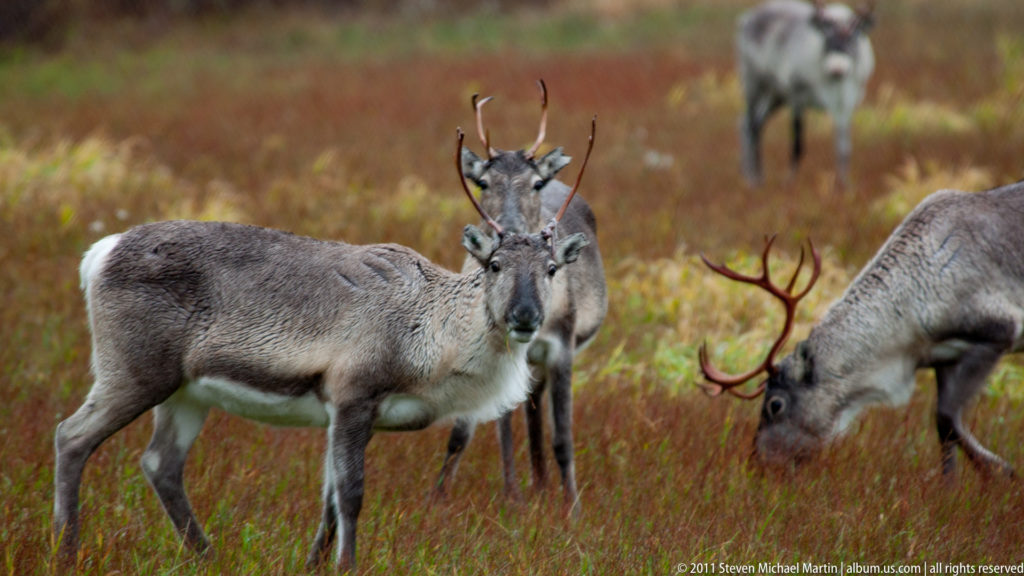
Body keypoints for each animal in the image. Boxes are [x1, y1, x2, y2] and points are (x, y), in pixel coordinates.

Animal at [52, 126, 596, 572]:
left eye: (551, 269)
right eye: (494, 265)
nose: (524, 317)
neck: (432, 334)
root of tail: (97, 254)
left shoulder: (344, 411)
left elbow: (330, 500)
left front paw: (314, 564)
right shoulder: (353, 394)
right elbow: (351, 495)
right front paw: (347, 566)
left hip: (187, 392)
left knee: (160, 464)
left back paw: (208, 556)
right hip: (134, 371)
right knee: (71, 437)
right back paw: (65, 552)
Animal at [433, 81, 607, 516]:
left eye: (535, 183)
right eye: (482, 183)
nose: (508, 229)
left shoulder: (562, 347)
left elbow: (563, 436)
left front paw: (572, 507)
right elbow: (470, 430)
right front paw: (441, 497)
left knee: (534, 411)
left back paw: (543, 484)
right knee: (514, 416)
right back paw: (526, 486)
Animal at [698, 180, 1024, 479]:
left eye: (775, 405)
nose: (757, 466)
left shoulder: (1000, 330)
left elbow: (946, 418)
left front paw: (1002, 471)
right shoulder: (943, 356)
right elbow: (946, 428)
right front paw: (950, 488)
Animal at [737, 0, 875, 187]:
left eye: (853, 38)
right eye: (827, 38)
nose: (837, 67)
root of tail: (746, 19)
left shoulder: (847, 103)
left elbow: (844, 147)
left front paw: (843, 184)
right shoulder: (797, 97)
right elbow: (797, 143)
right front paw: (790, 181)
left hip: (776, 95)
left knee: (750, 123)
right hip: (754, 83)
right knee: (751, 125)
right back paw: (755, 179)